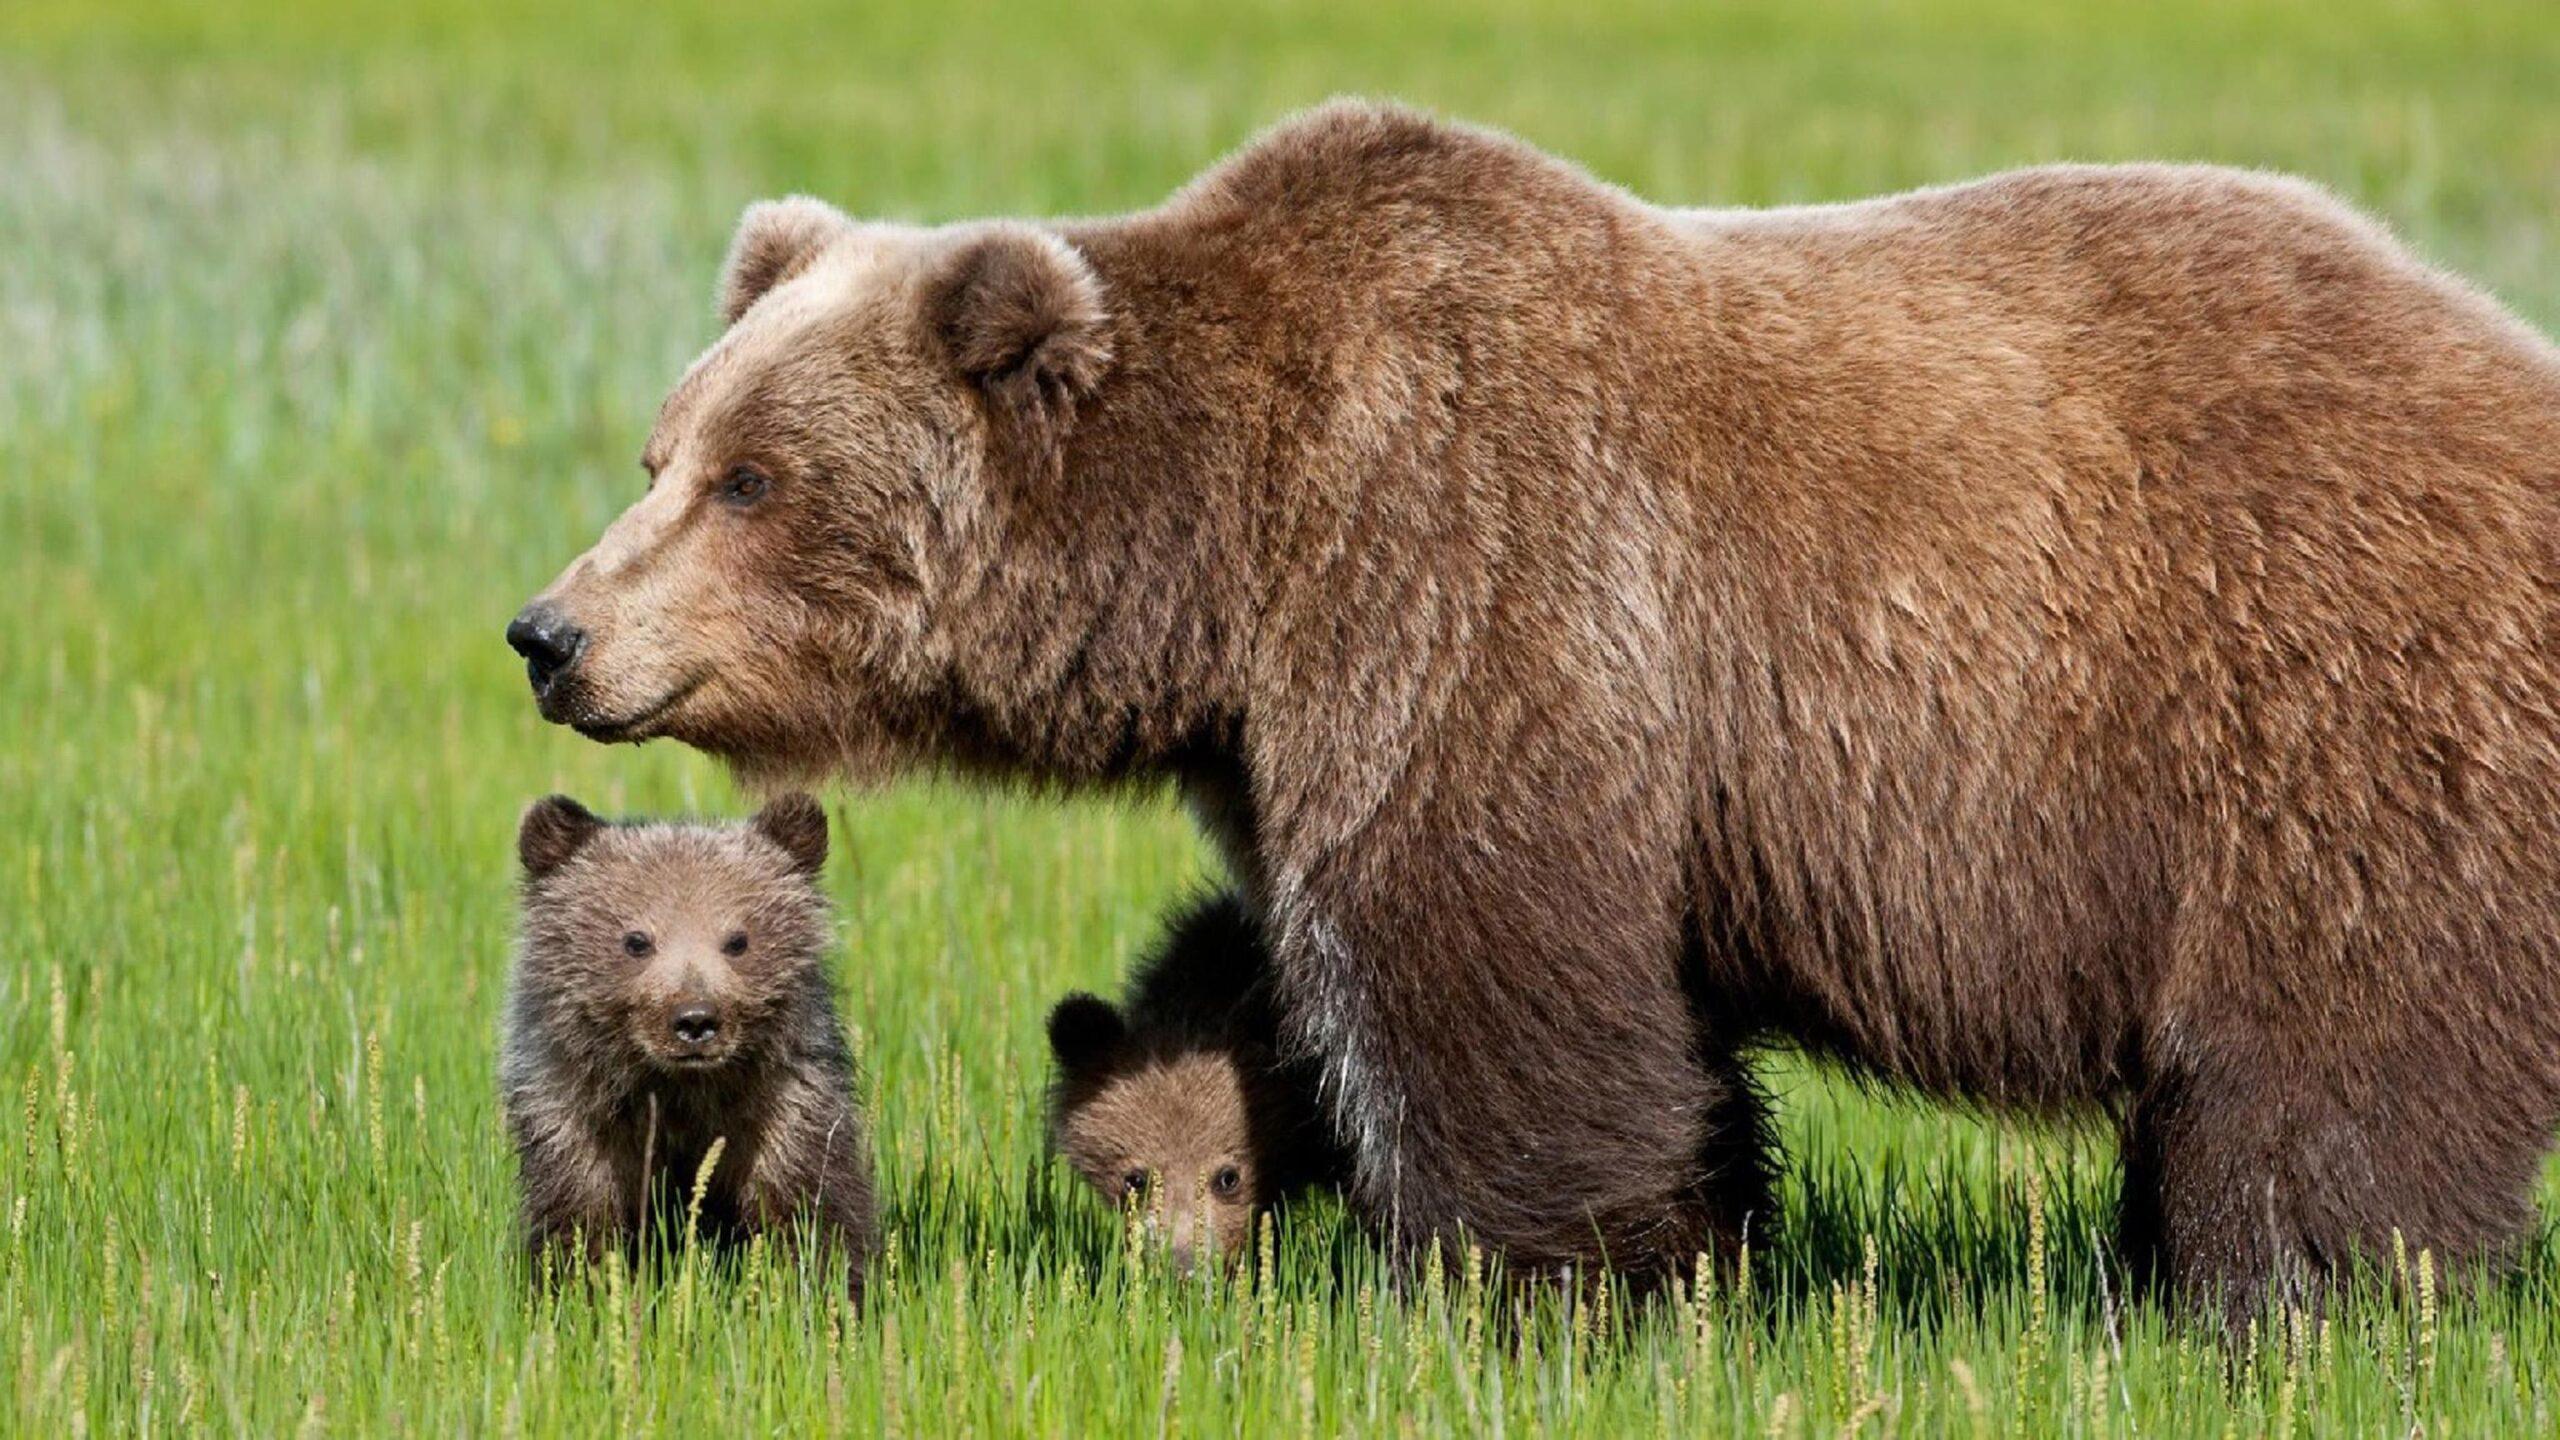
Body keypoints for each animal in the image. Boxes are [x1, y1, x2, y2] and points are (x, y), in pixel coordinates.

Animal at [509, 95, 2560, 1322]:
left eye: (753, 479)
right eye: (665, 449)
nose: (550, 632)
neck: (1236, 545)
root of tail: (2510, 360)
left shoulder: (1477, 578)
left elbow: (1486, 962)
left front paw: (1534, 1283)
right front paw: (1706, 1246)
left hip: (2317, 708)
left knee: (2333, 1052)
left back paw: (2291, 1293)